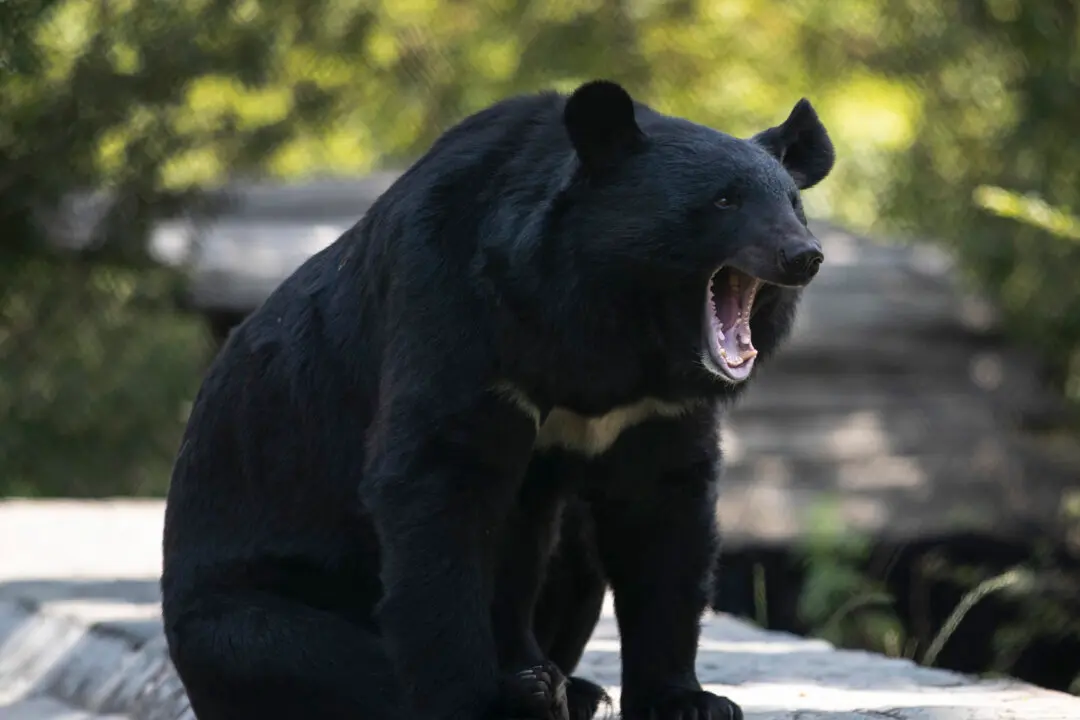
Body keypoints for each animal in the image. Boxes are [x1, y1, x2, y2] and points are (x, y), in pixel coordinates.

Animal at [160, 78, 834, 720]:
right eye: (724, 201)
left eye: (794, 204)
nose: (804, 256)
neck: (616, 327)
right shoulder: (457, 316)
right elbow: (438, 489)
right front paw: (479, 701)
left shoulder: (654, 409)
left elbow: (663, 516)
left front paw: (690, 701)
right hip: (240, 610)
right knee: (306, 656)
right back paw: (534, 692)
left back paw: (571, 688)